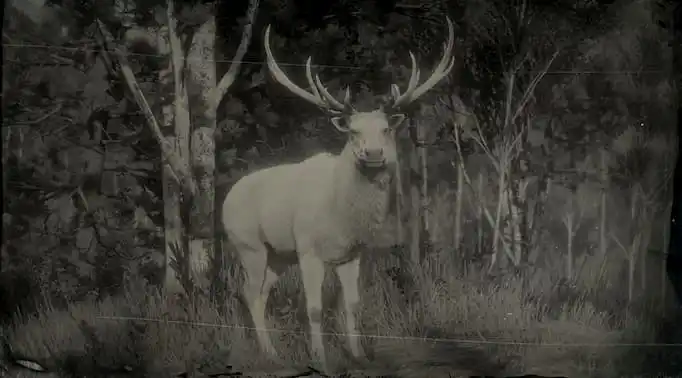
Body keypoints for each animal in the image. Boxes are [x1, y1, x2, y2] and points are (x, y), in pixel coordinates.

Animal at [223, 18, 454, 372]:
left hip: (278, 255)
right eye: (354, 131)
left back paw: (271, 349)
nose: (373, 154)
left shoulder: (352, 253)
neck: (342, 218)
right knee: (249, 293)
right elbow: (315, 308)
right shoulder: (308, 248)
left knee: (260, 293)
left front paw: (358, 354)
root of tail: (224, 200)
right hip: (248, 244)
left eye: (386, 129)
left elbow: (353, 305)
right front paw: (320, 358)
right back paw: (269, 353)